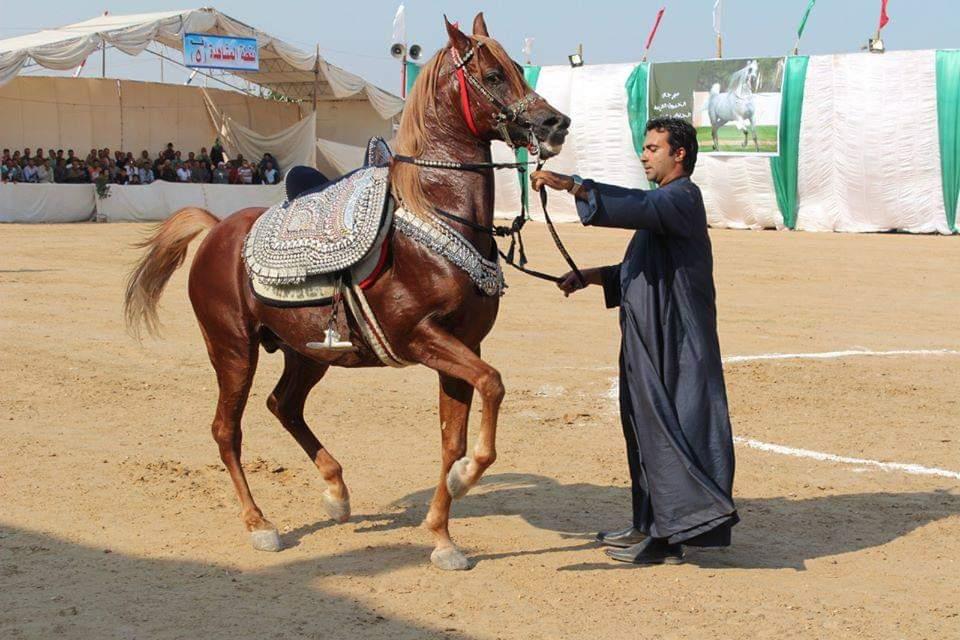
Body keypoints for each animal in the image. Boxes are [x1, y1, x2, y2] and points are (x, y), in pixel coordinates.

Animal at [121, 13, 568, 568]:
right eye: (492, 76)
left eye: (518, 70)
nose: (555, 124)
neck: (436, 215)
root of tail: (218, 227)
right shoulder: (422, 337)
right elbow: (493, 388)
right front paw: (465, 480)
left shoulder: (465, 346)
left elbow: (453, 437)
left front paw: (442, 536)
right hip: (233, 351)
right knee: (228, 430)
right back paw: (259, 524)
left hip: (306, 352)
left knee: (284, 406)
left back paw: (336, 492)